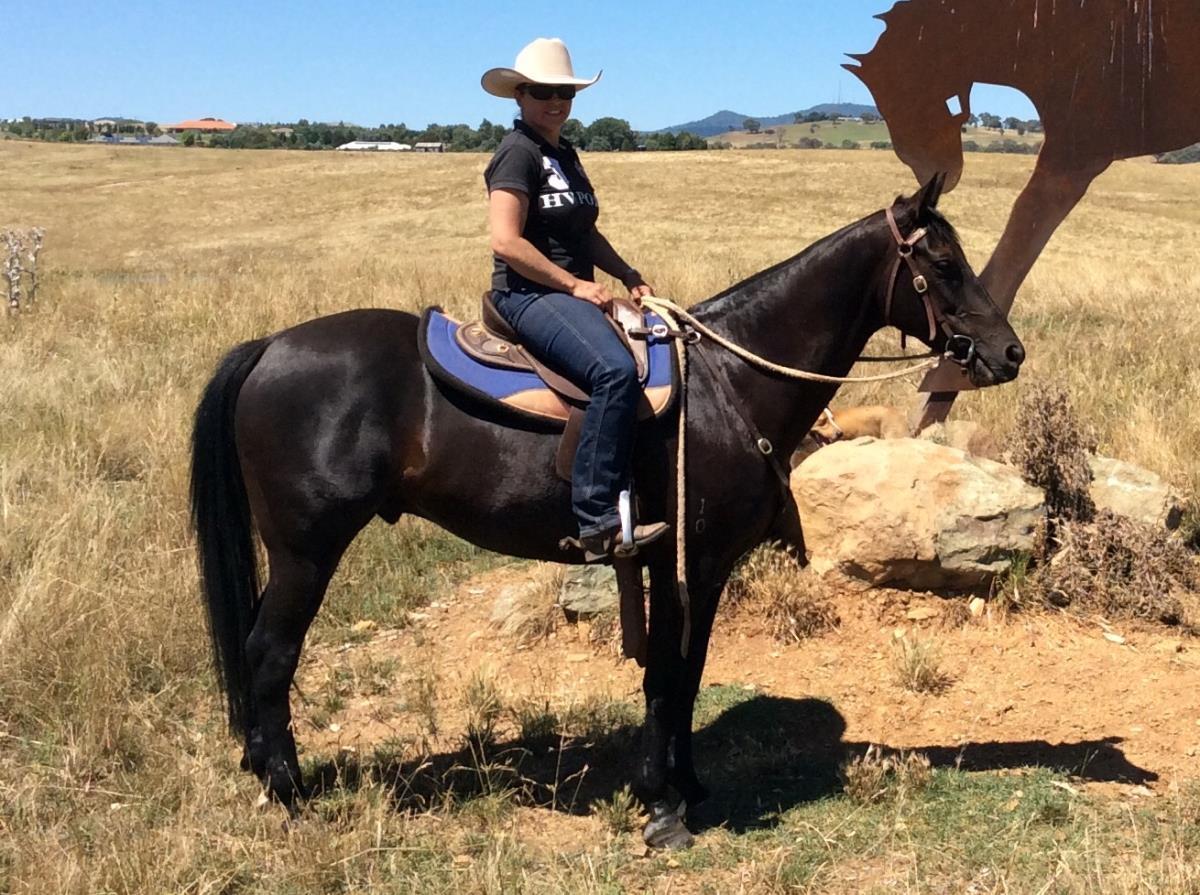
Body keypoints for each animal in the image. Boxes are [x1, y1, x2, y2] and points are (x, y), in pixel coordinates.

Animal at [190, 173, 1024, 847]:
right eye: (942, 263)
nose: (1010, 352)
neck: (728, 381)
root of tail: (269, 347)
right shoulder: (683, 558)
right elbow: (664, 676)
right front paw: (660, 806)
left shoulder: (700, 568)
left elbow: (686, 676)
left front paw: (687, 787)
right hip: (307, 552)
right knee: (270, 653)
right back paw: (289, 792)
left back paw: (262, 767)